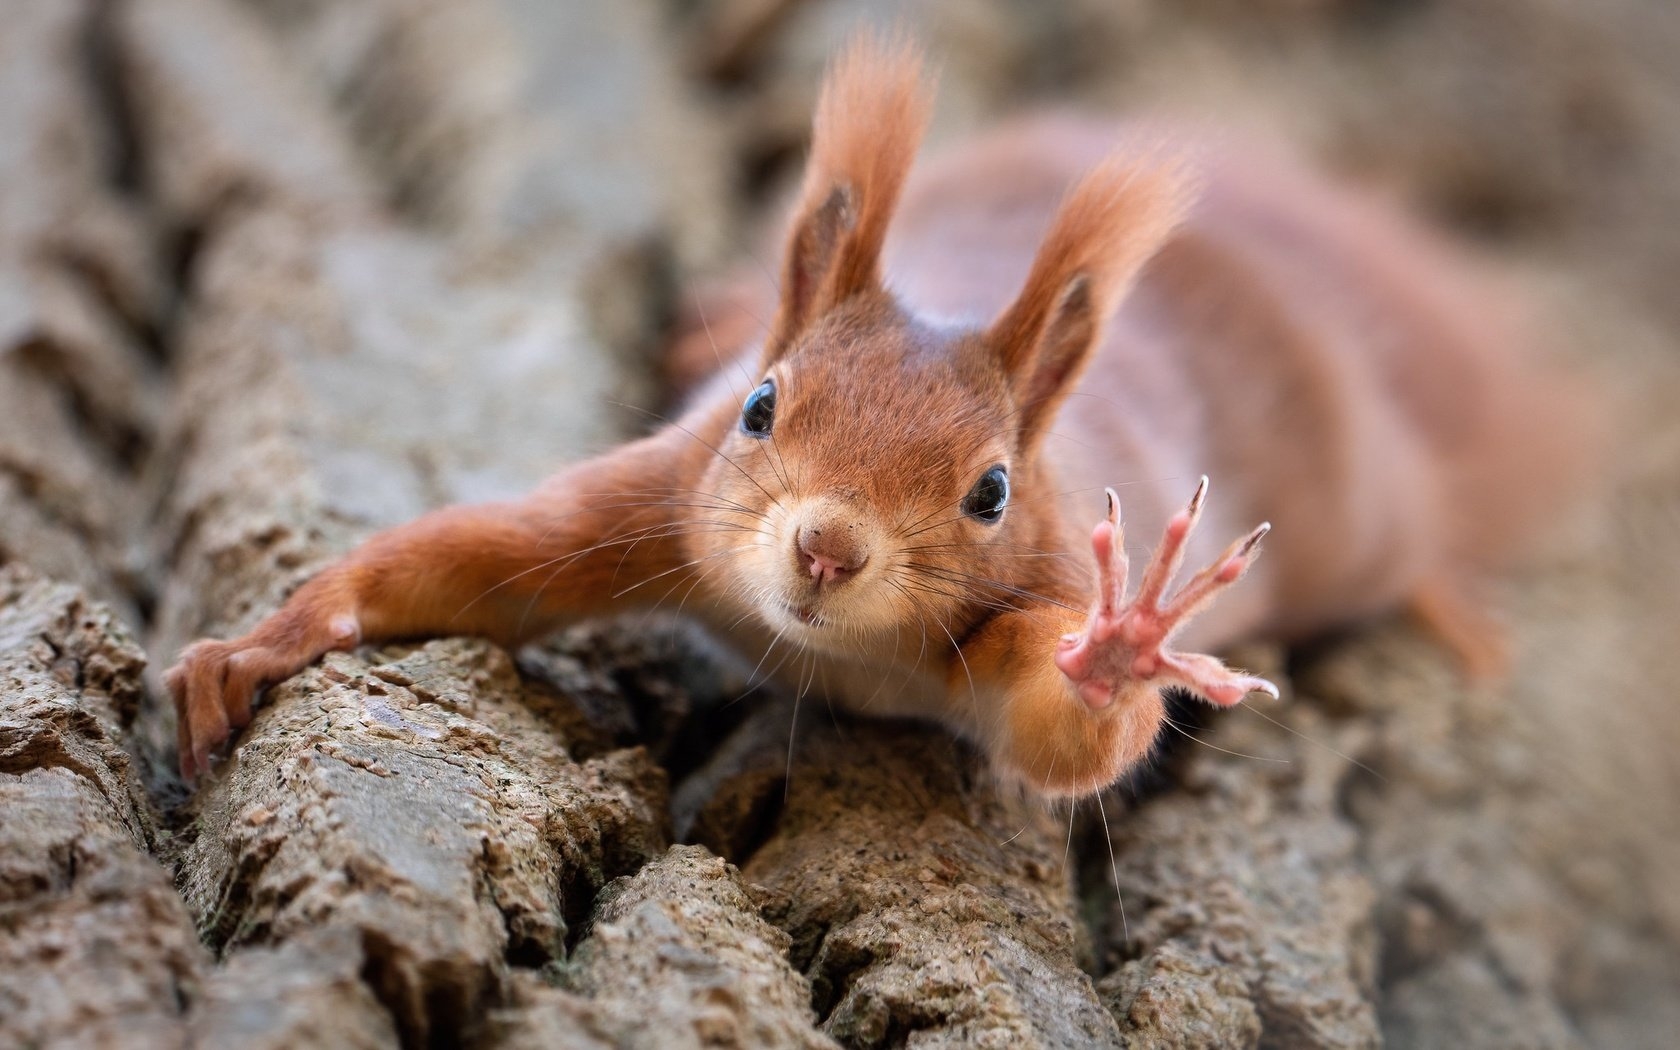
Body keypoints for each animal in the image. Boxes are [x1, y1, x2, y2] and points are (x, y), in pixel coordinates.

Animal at [167, 38, 1585, 792]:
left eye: (993, 490)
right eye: (759, 406)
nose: (825, 549)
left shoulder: (1034, 592)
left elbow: (1070, 737)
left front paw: (1121, 650)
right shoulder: (655, 499)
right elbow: (476, 560)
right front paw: (263, 644)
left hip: (1359, 513)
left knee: (1411, 539)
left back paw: (1452, 605)